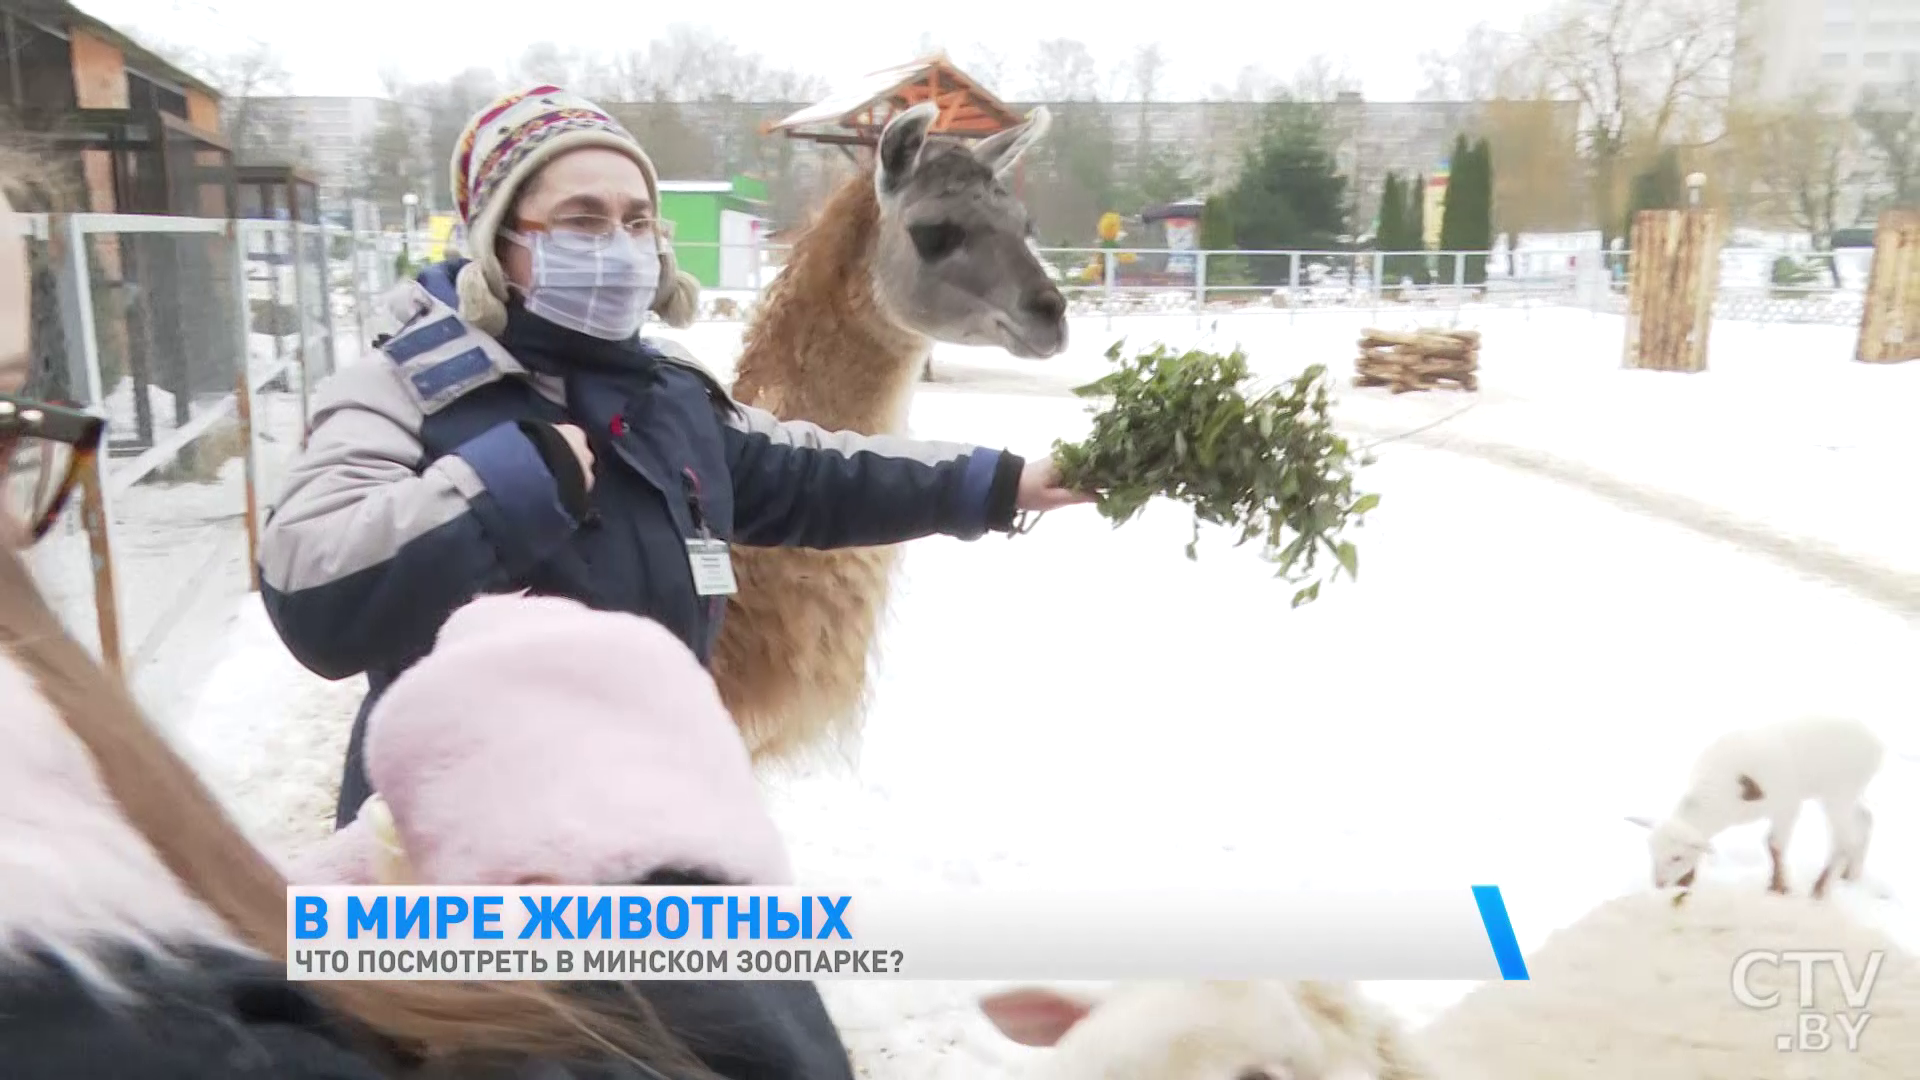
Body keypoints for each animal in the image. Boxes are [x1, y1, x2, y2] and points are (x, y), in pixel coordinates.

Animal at [1628, 714, 1881, 891]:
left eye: (1676, 857)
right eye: (1651, 851)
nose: (1659, 884)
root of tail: (1877, 744)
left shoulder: (1787, 805)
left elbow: (1774, 845)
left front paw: (1778, 888)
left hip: (1840, 792)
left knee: (1844, 837)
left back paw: (1822, 887)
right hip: (1849, 791)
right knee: (1864, 819)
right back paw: (1851, 874)